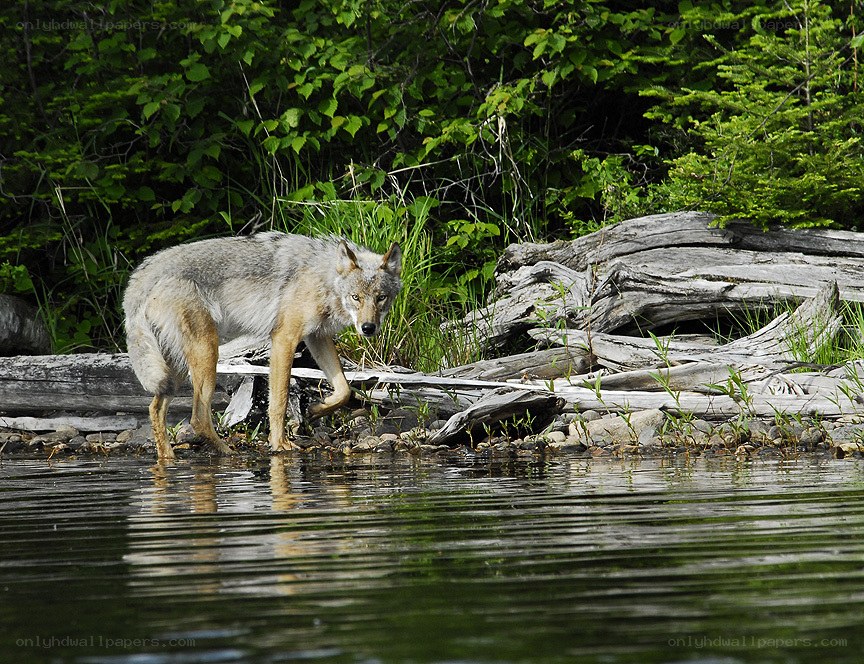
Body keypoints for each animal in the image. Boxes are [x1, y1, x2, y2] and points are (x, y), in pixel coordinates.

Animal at [123, 233, 402, 460]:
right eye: (356, 297)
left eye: (381, 298)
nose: (368, 328)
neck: (323, 278)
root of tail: (142, 275)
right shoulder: (284, 339)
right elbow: (278, 401)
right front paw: (279, 444)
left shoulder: (317, 337)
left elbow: (344, 390)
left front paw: (314, 411)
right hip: (207, 356)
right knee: (198, 418)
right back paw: (227, 452)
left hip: (177, 369)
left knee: (156, 409)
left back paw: (168, 458)